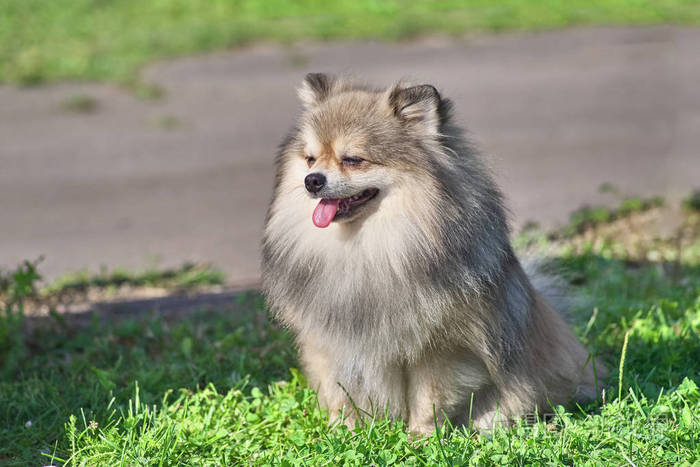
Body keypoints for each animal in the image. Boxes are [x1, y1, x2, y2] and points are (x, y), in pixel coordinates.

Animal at [260, 73, 604, 436]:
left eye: (353, 160)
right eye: (310, 159)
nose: (312, 180)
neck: (368, 246)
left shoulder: (439, 349)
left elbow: (428, 399)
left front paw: (420, 437)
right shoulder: (331, 345)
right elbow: (339, 393)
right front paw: (342, 432)